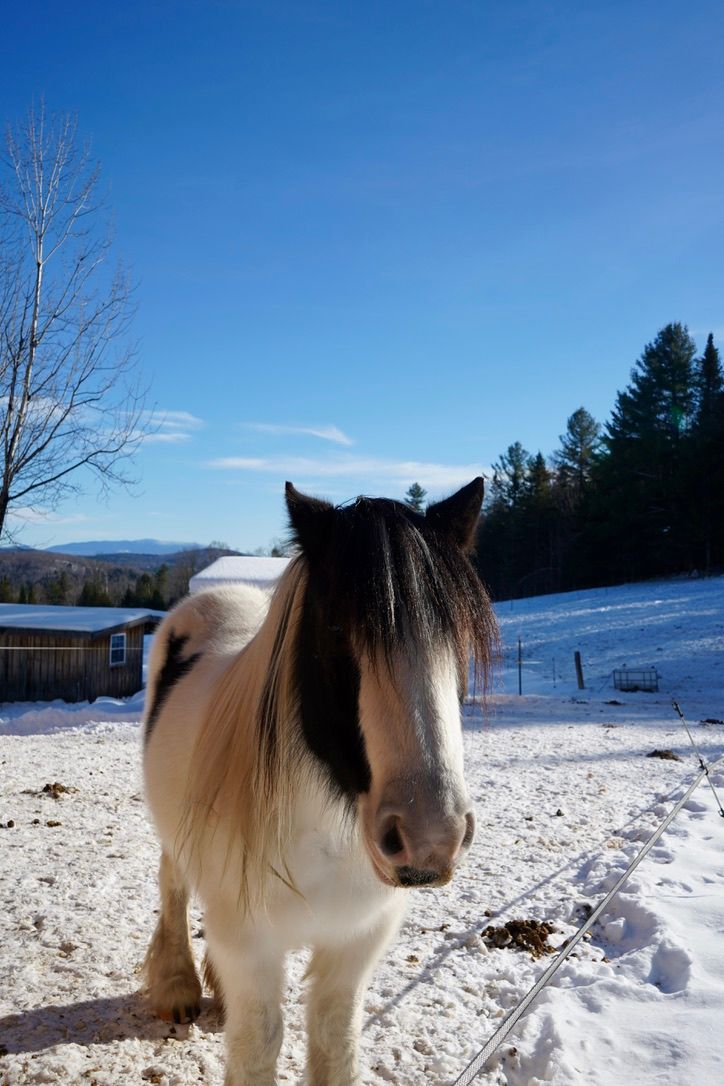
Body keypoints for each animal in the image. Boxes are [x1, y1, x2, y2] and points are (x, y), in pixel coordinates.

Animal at [142, 478, 496, 1086]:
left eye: (455, 632)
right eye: (335, 627)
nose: (430, 837)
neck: (326, 833)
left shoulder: (356, 941)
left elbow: (334, 1041)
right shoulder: (252, 947)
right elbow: (258, 1046)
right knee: (173, 884)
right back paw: (177, 984)